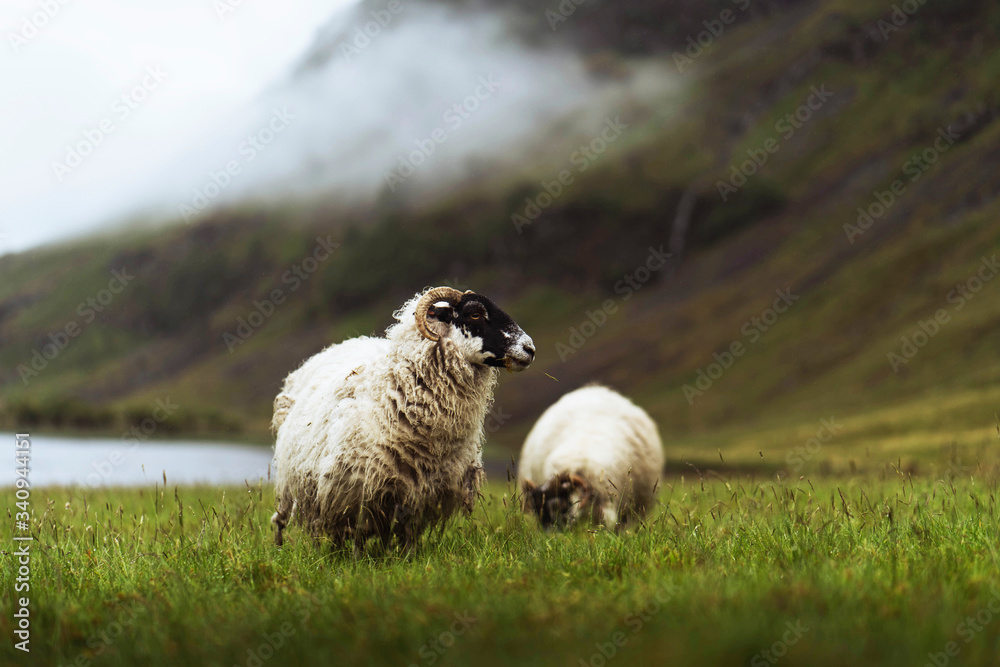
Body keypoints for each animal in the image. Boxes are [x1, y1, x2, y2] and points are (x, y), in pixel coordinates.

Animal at [270, 288, 536, 552]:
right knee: (281, 519)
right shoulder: (357, 490)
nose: (530, 349)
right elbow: (357, 536)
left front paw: (407, 556)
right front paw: (356, 558)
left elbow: (409, 536)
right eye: (475, 314)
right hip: (290, 480)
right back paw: (280, 548)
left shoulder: (421, 495)